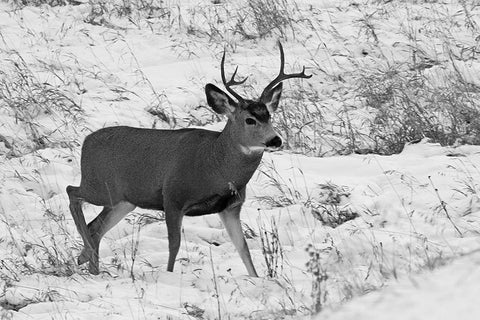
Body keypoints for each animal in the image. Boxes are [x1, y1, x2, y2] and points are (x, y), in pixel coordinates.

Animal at [67, 42, 312, 278]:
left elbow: (243, 248)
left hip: (123, 200)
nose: (275, 140)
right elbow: (174, 245)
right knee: (72, 192)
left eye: (269, 115)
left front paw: (257, 279)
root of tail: (86, 142)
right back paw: (87, 257)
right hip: (98, 186)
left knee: (95, 227)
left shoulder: (231, 207)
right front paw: (169, 276)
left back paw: (90, 263)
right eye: (250, 119)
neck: (215, 165)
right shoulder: (173, 197)